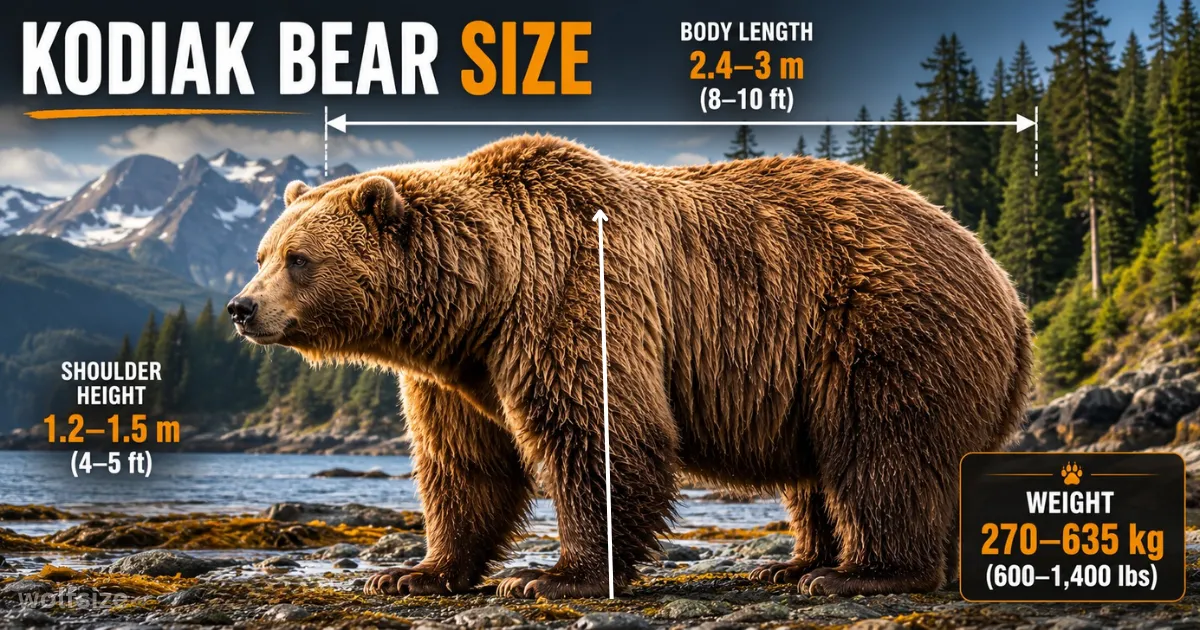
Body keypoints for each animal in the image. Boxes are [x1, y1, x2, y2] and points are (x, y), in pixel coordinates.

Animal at [228, 134, 1032, 599]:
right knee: (821, 470)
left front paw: (548, 576)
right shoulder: (452, 372)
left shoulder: (578, 297)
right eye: (265, 252)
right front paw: (411, 572)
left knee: (881, 450)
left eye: (298, 259)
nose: (241, 307)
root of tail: (1007, 290)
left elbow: (600, 434)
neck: (488, 293)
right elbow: (464, 464)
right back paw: (794, 563)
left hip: (881, 330)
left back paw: (857, 574)